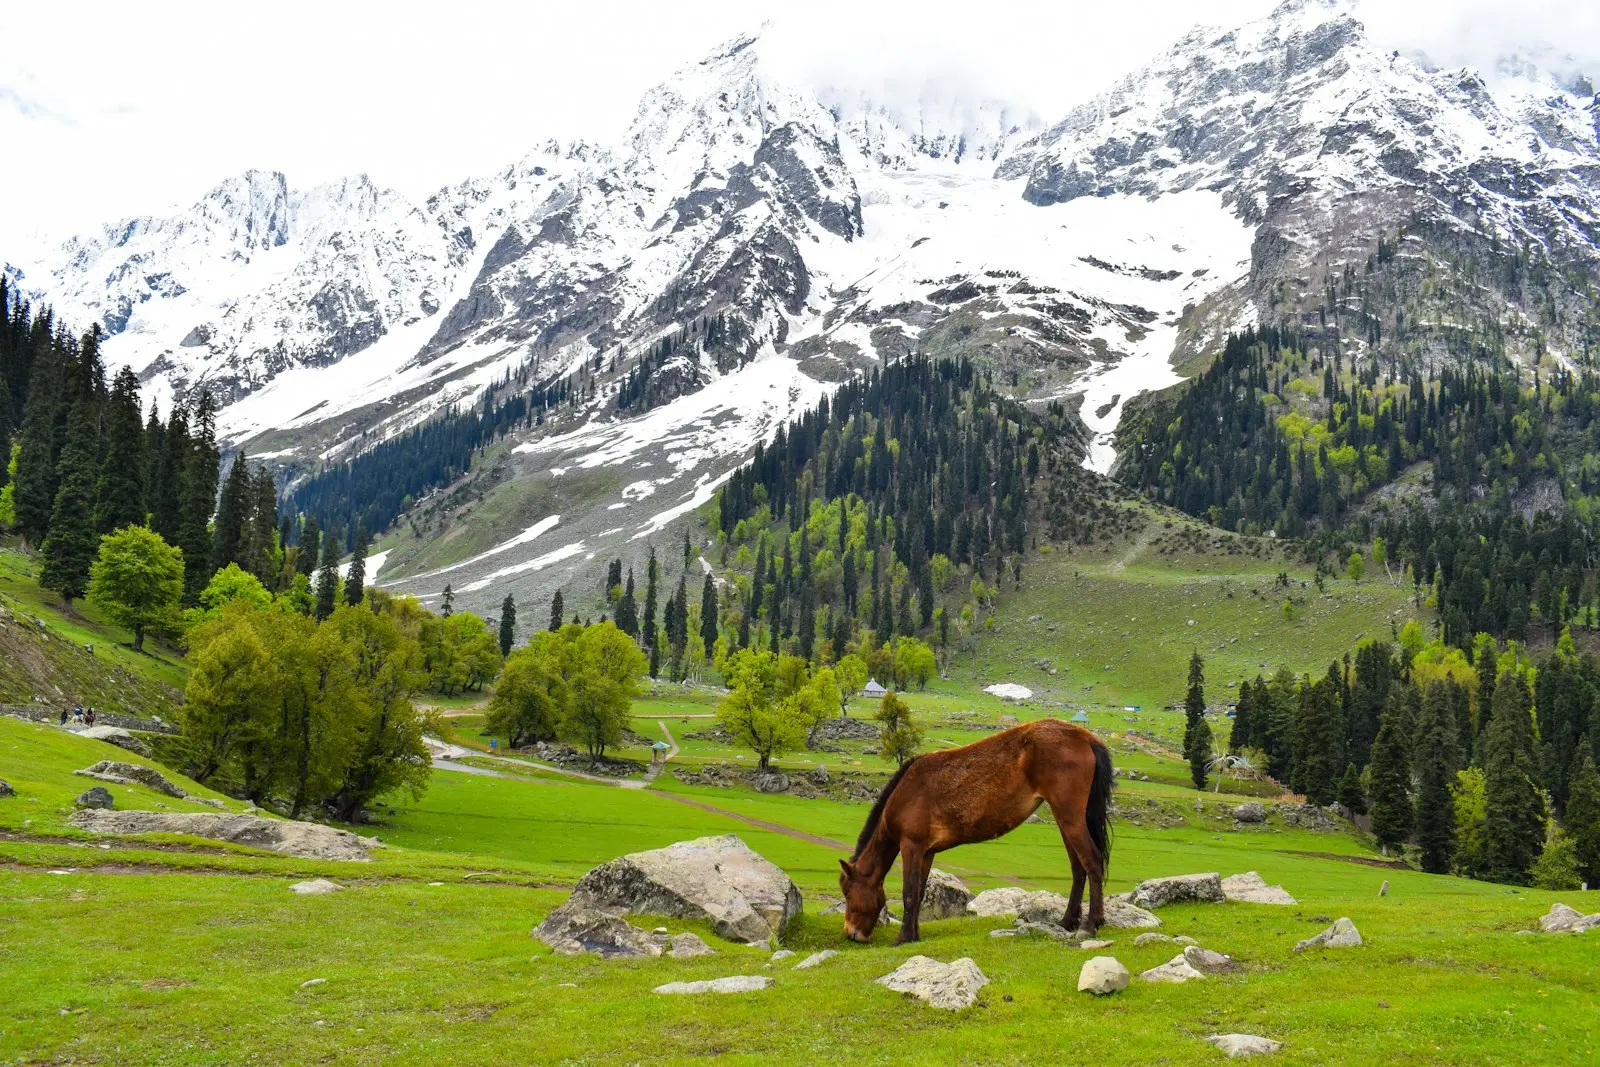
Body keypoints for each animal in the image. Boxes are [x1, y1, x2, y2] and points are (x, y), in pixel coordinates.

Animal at [838, 718, 1113, 944]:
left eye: (848, 892)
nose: (851, 933)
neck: (905, 793)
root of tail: (1086, 737)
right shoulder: (926, 852)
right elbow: (919, 892)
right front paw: (914, 935)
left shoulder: (911, 847)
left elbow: (909, 893)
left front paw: (903, 937)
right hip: (1066, 820)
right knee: (1078, 868)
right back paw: (1067, 921)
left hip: (1069, 816)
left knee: (1092, 861)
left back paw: (1090, 925)